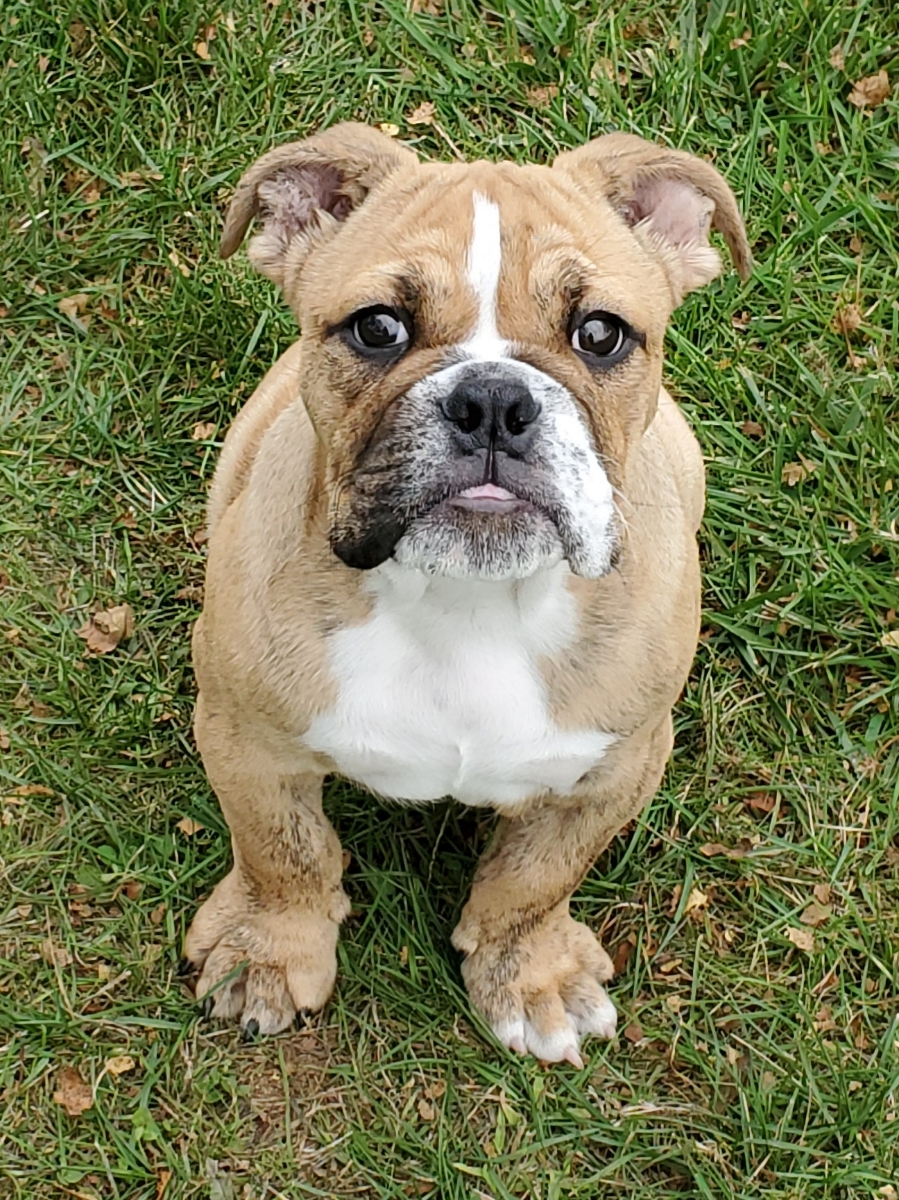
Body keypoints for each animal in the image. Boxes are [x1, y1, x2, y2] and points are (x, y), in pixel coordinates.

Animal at [183, 123, 750, 1066]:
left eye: (601, 333)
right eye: (377, 328)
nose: (491, 398)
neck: (466, 601)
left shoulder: (616, 767)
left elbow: (536, 877)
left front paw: (528, 974)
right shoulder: (246, 738)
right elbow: (282, 852)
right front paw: (270, 952)